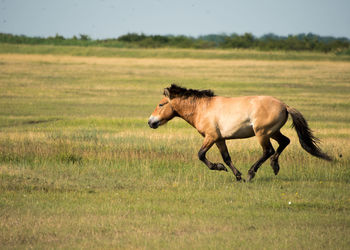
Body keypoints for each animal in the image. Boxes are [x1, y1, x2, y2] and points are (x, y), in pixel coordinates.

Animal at [147, 84, 330, 182]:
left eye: (161, 104)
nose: (150, 122)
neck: (202, 108)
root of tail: (284, 106)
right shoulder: (220, 139)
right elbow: (227, 158)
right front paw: (236, 176)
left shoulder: (211, 137)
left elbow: (200, 154)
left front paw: (222, 169)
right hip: (273, 132)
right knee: (285, 142)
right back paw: (274, 166)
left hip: (262, 133)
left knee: (268, 150)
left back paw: (251, 174)